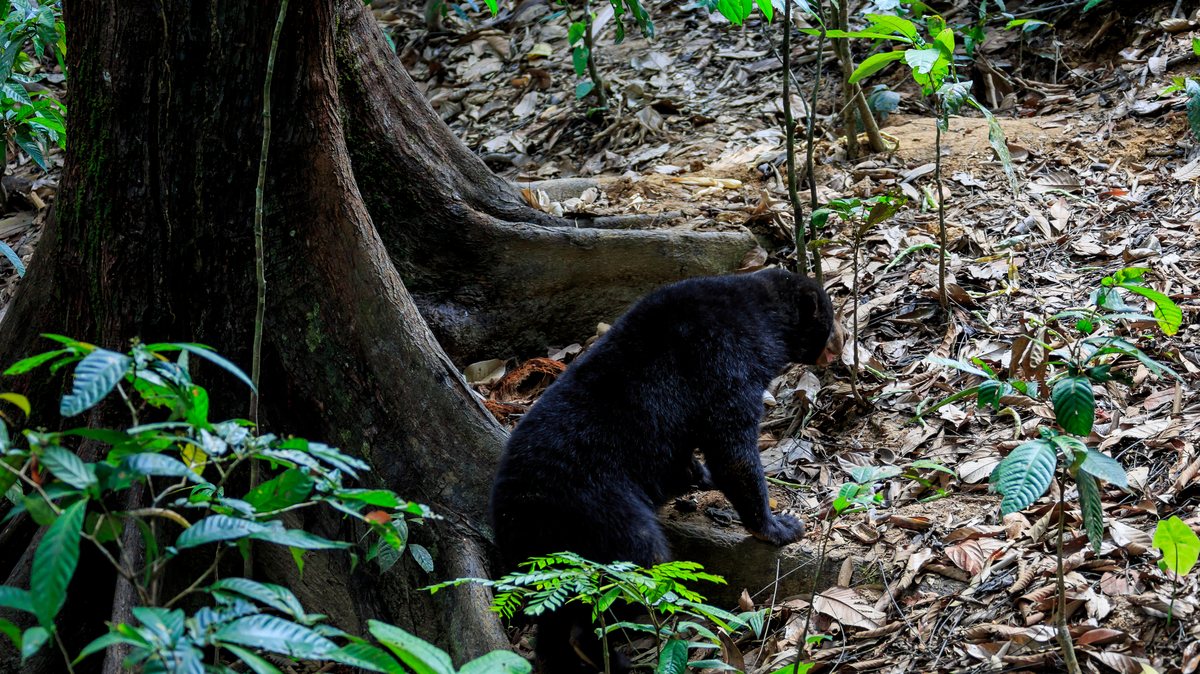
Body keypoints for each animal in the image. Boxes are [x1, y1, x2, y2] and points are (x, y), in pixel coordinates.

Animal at [490, 268, 843, 672]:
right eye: (830, 314)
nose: (842, 341)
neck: (756, 316)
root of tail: (517, 513)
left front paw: (698, 475)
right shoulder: (722, 363)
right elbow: (731, 449)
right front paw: (779, 526)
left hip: (546, 555)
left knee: (553, 610)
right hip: (600, 511)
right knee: (633, 565)